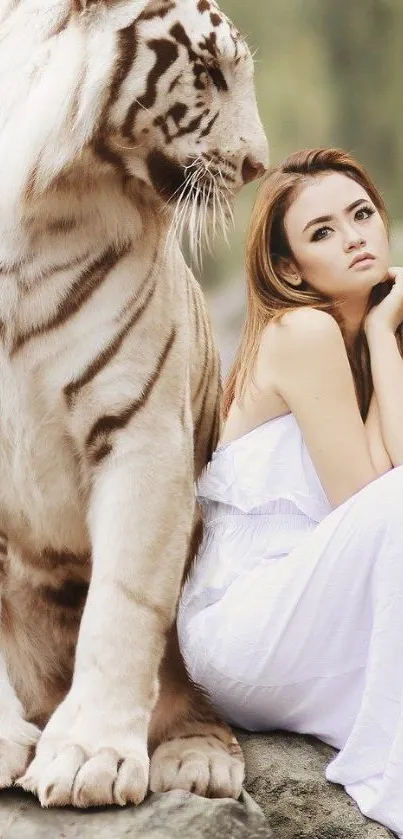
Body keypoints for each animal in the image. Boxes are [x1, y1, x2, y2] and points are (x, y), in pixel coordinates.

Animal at [0, 0, 270, 812]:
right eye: (209, 72)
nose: (259, 165)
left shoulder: (142, 433)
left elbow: (121, 607)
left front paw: (86, 758)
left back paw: (196, 759)